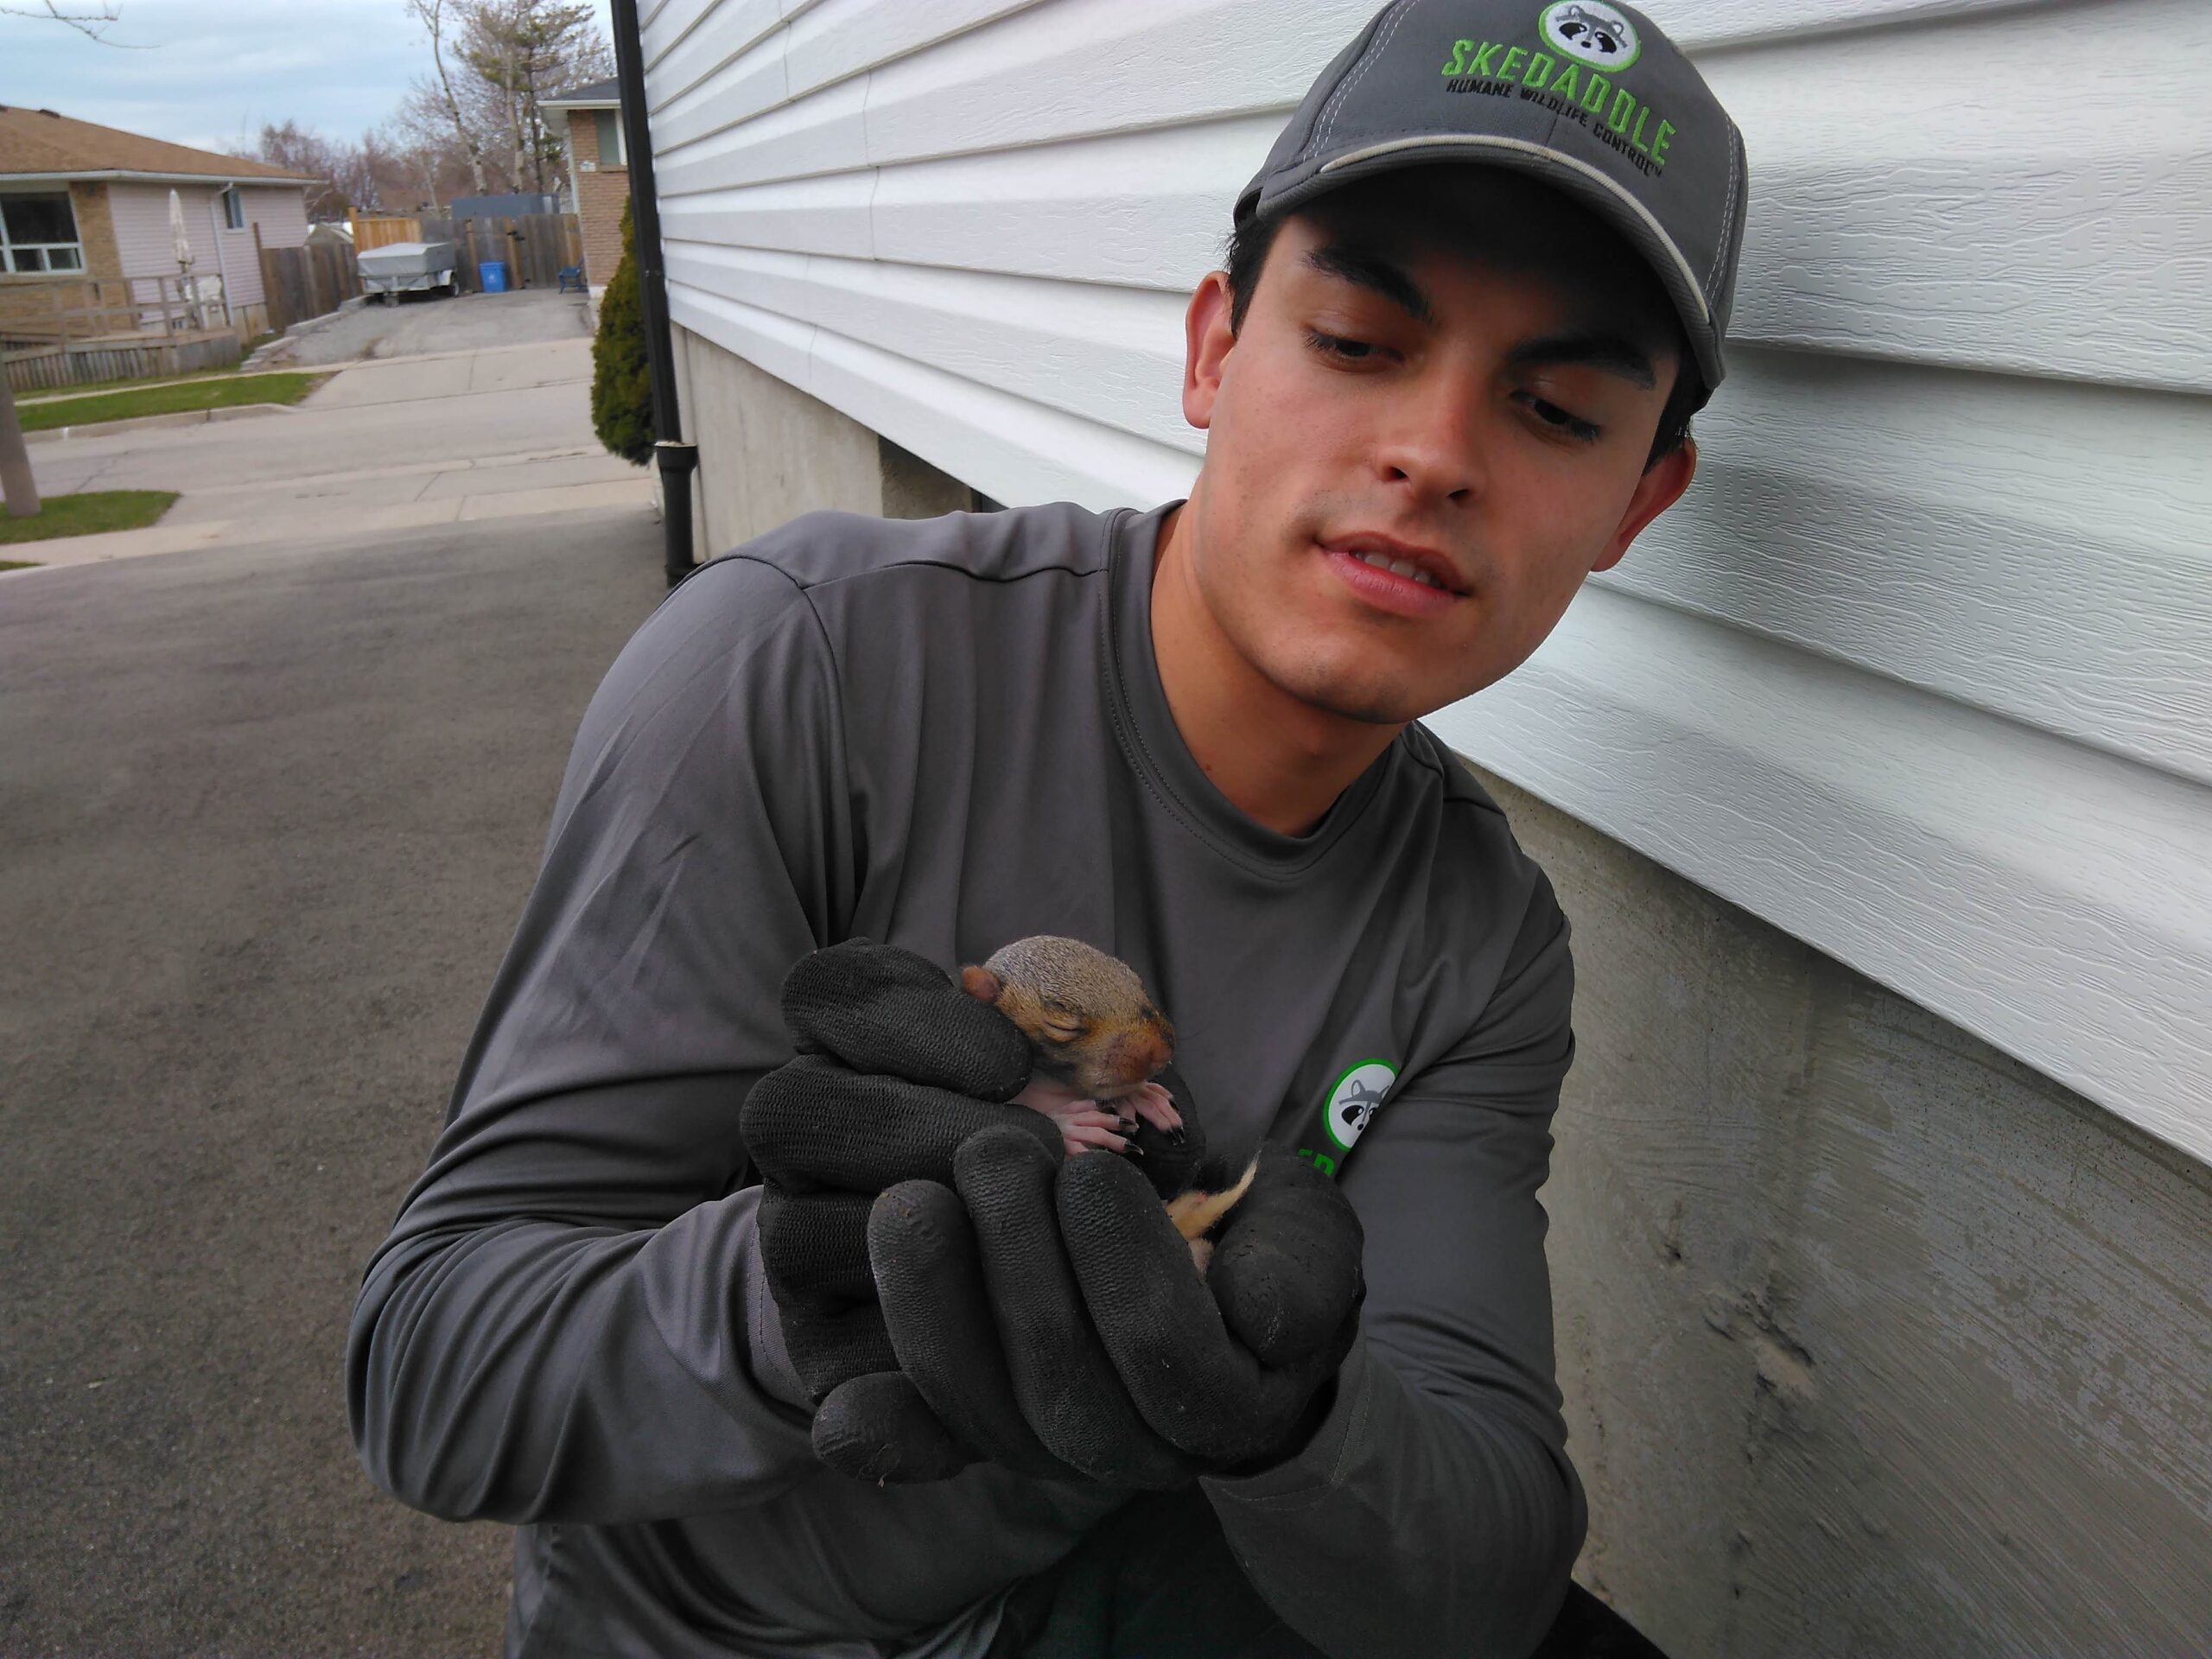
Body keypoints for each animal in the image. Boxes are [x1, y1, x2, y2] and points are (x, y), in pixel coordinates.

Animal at [955, 942, 1256, 1282]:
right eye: (1062, 1022)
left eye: (1136, 980)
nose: (1161, 1050)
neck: (1055, 1085)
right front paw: (1075, 1126)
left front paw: (1141, 1094)